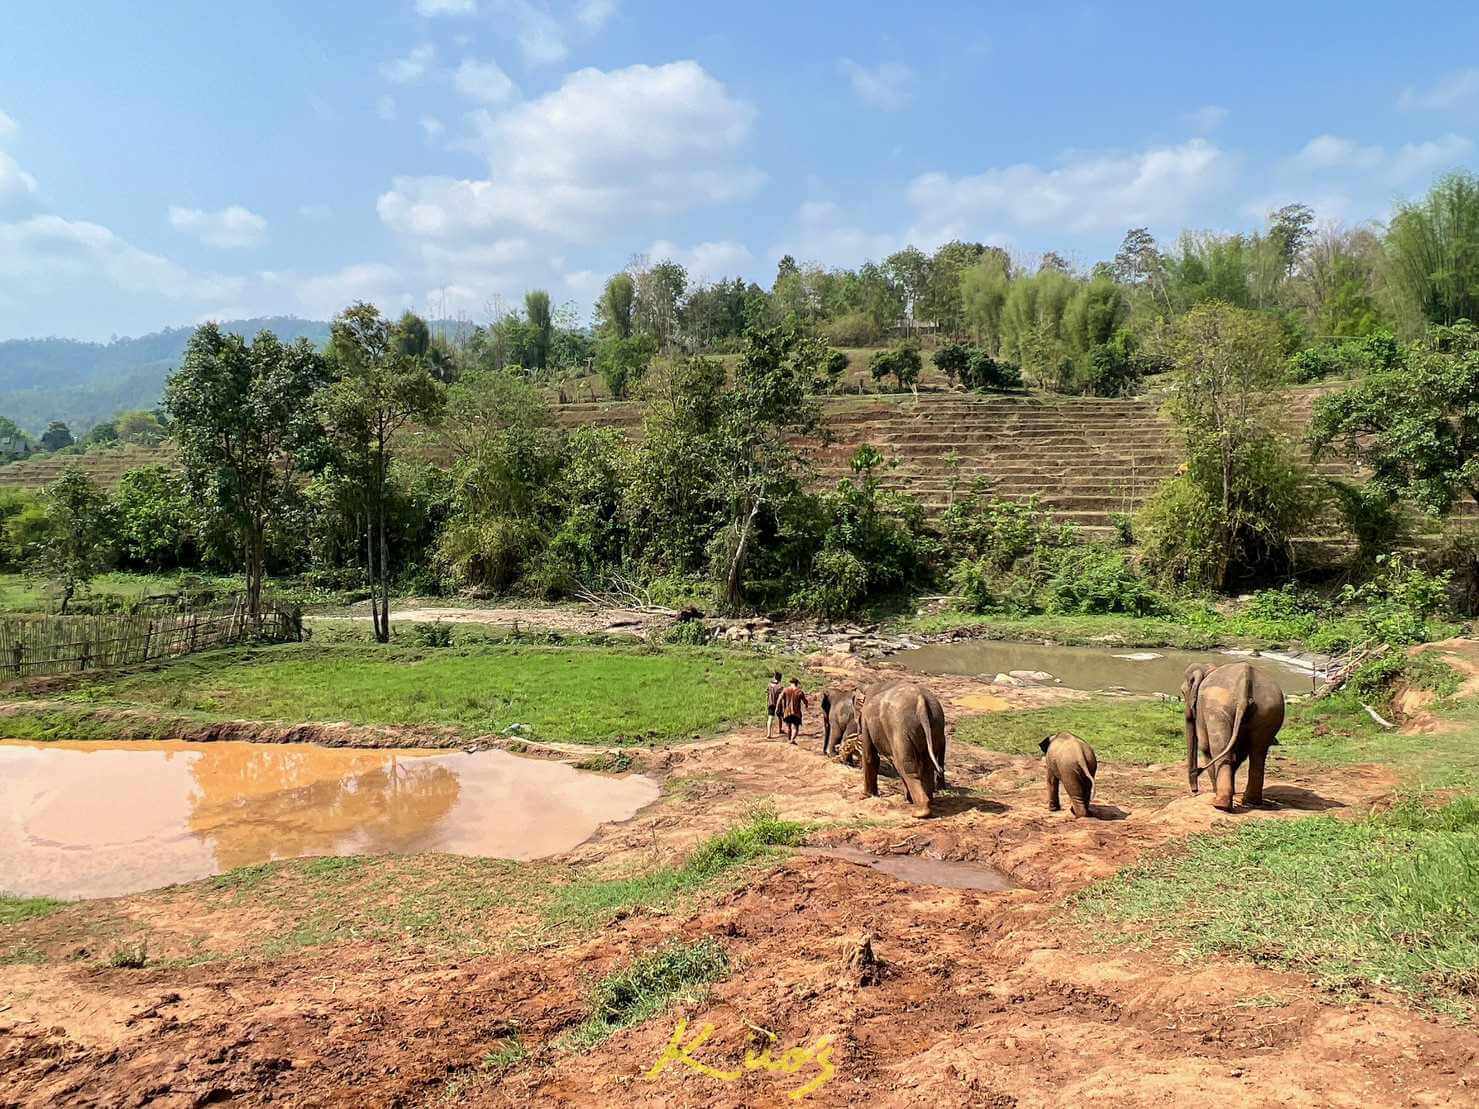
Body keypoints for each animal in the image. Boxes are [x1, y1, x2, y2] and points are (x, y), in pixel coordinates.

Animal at [857, 683, 946, 822]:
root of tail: (921, 702)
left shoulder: (866, 721)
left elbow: (869, 756)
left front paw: (866, 795)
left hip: (900, 729)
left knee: (905, 765)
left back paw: (920, 812)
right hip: (936, 725)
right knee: (926, 765)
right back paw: (927, 801)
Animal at [1177, 665, 1283, 810]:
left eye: (1183, 692)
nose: (1194, 791)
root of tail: (1245, 681)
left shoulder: (1201, 711)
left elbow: (1205, 747)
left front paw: (1215, 791)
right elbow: (1239, 753)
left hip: (1217, 709)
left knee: (1219, 748)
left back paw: (1219, 803)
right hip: (1269, 709)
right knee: (1258, 752)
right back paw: (1250, 801)